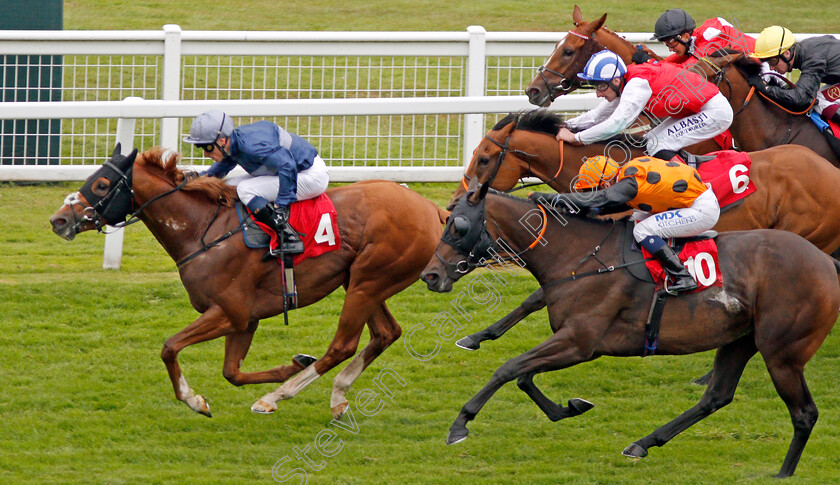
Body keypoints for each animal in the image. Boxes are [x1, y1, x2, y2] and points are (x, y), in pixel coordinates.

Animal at [49, 144, 450, 416]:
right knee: (385, 333)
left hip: (369, 281)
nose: (58, 220)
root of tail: (431, 208)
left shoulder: (231, 312)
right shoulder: (246, 320)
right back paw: (336, 395)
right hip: (362, 282)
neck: (202, 230)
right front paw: (293, 363)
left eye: (102, 185)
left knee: (343, 345)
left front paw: (194, 400)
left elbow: (170, 347)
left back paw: (276, 397)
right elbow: (232, 372)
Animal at [420, 173, 840, 476]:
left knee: (804, 413)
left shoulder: (580, 342)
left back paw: (783, 474)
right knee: (716, 396)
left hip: (782, 354)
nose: (430, 276)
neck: (579, 256)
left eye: (457, 225)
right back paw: (643, 443)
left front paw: (460, 425)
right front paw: (570, 407)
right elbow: (524, 376)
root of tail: (825, 260)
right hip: (739, 339)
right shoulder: (575, 342)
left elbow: (509, 369)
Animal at [450, 111, 840, 350]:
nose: (457, 199)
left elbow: (538, 296)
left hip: (807, 234)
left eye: (484, 159)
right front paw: (478, 336)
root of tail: (830, 171)